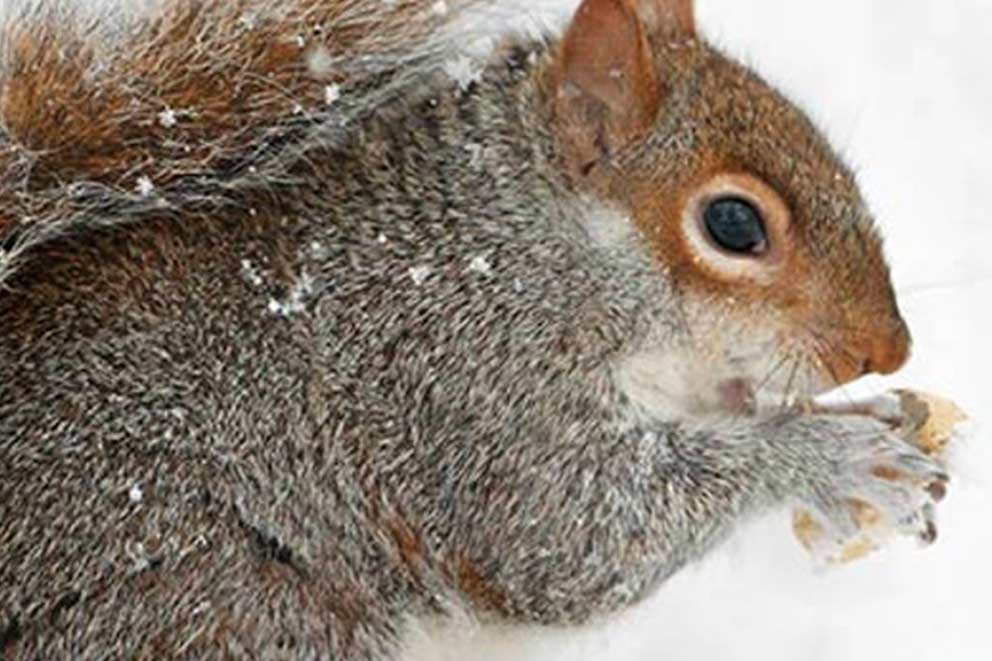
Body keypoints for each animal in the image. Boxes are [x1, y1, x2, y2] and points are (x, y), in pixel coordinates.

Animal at [0, 0, 949, 658]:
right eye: (734, 224)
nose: (887, 348)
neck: (515, 246)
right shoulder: (470, 384)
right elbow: (576, 537)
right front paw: (834, 457)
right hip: (223, 605)